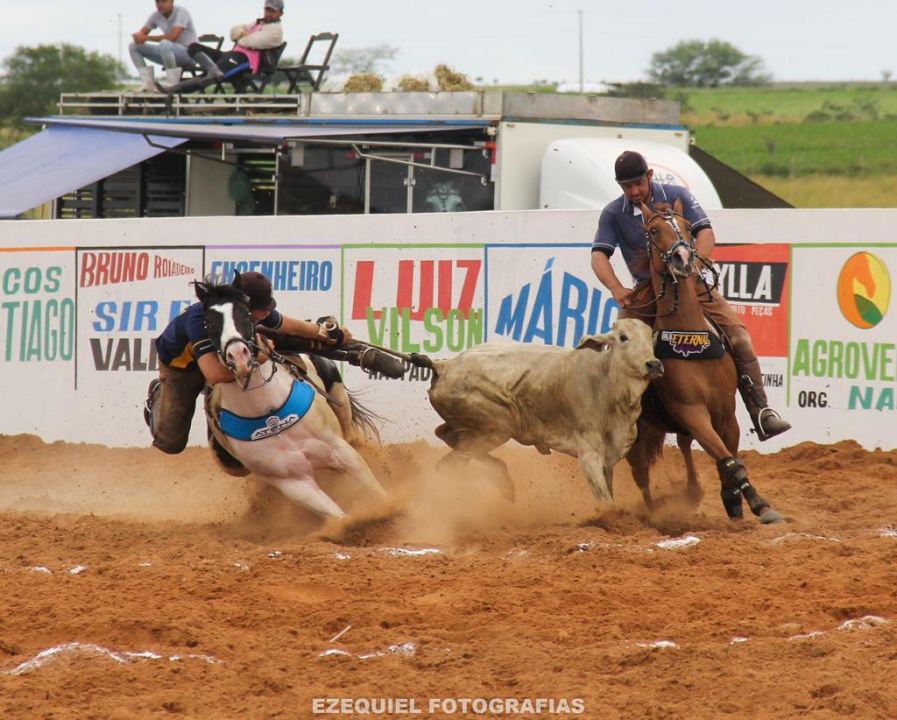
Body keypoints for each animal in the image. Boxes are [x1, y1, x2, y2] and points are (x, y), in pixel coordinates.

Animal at [196, 276, 388, 520]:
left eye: (246, 314)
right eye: (208, 323)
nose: (238, 355)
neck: (268, 412)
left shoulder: (340, 450)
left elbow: (376, 492)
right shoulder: (293, 483)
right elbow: (337, 516)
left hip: (338, 395)